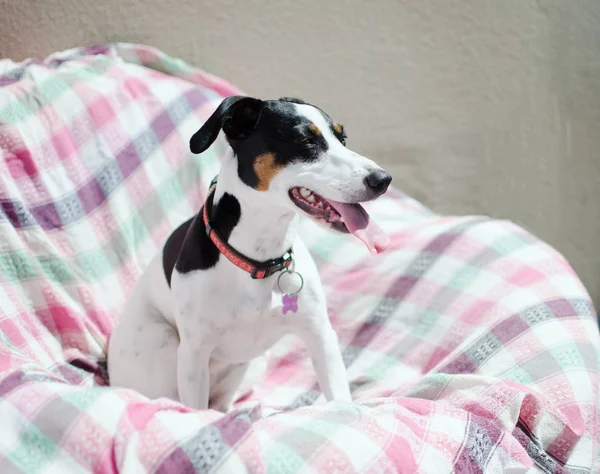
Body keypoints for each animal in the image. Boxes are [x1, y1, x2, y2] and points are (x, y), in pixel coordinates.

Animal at [108, 96, 392, 412]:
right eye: (306, 141)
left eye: (343, 139)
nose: (383, 179)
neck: (259, 259)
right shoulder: (193, 355)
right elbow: (196, 411)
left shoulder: (320, 335)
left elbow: (337, 395)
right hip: (162, 346)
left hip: (250, 366)